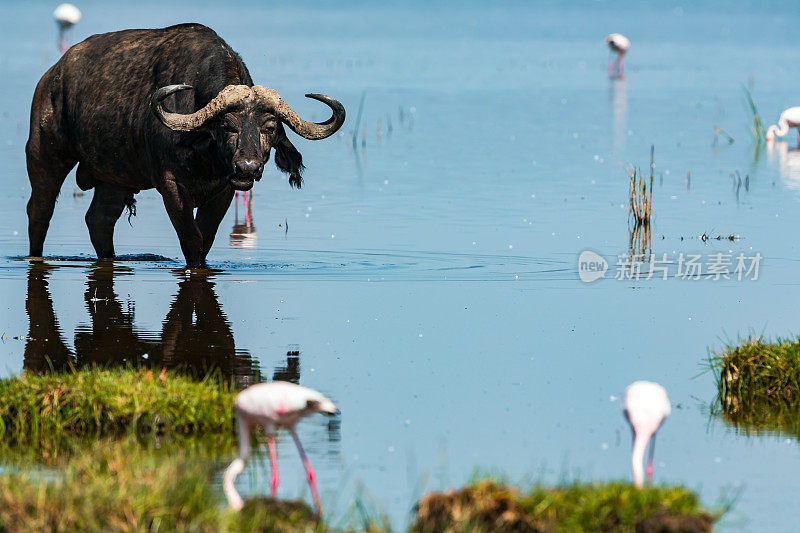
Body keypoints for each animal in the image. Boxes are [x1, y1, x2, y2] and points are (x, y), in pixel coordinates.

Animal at [24, 24, 344, 266]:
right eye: (227, 126)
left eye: (270, 128)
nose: (247, 167)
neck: (205, 152)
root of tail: (52, 76)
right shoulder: (172, 186)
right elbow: (191, 237)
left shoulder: (225, 189)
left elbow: (207, 237)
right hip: (44, 155)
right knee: (39, 211)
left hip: (114, 178)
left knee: (99, 220)